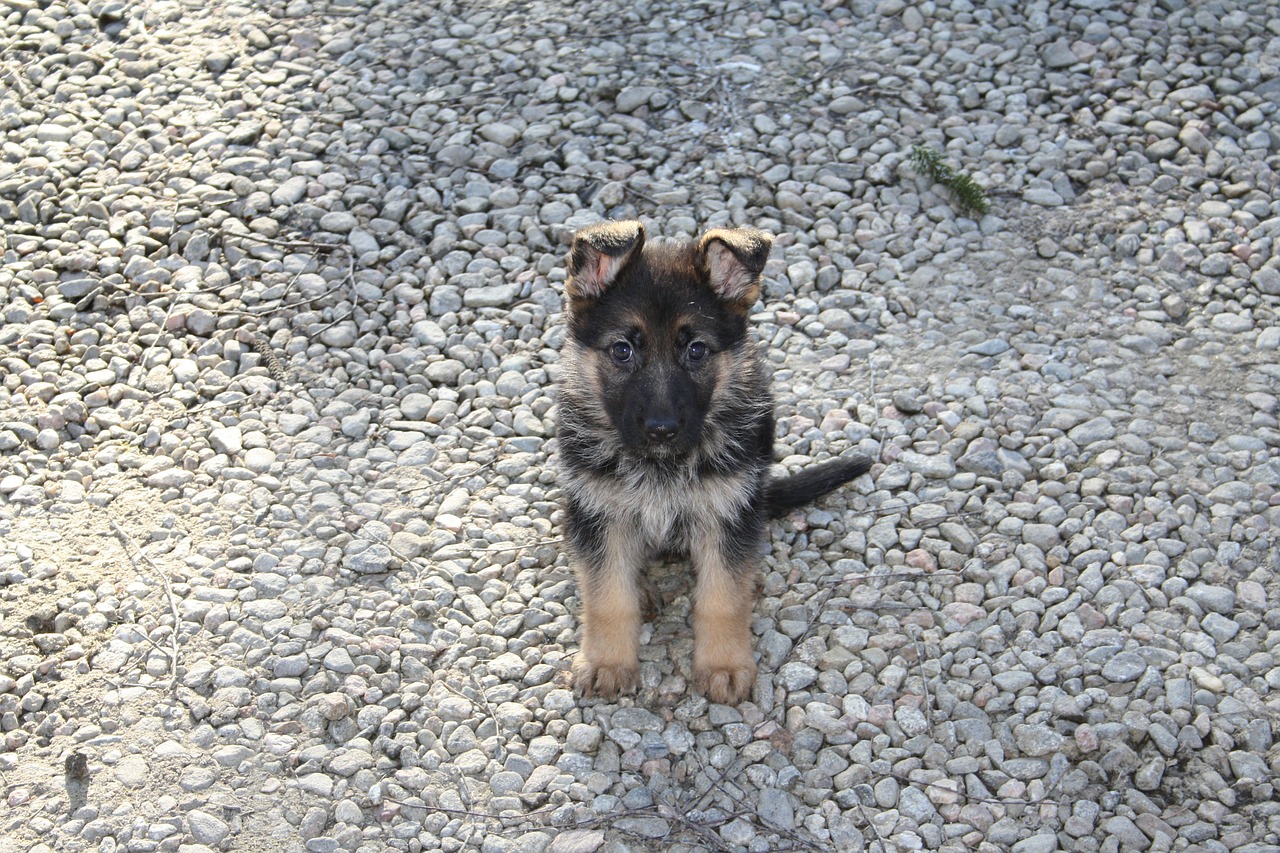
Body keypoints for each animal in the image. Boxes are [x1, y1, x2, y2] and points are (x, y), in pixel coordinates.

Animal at [552, 220, 870, 701]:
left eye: (696, 350)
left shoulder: (727, 511)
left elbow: (721, 597)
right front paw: (607, 661)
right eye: (623, 350)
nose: (661, 429)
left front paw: (724, 664)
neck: (662, 465)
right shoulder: (597, 513)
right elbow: (608, 596)